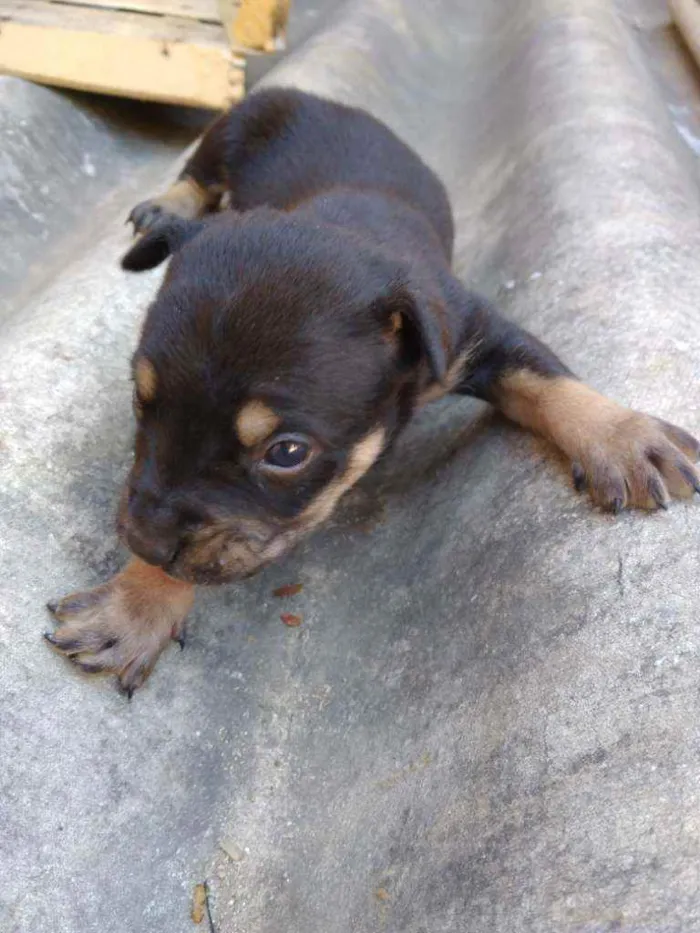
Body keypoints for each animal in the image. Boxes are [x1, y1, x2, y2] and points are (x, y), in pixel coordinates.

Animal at [45, 89, 700, 700]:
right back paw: (165, 207)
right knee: (198, 174)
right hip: (234, 125)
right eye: (141, 400)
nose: (140, 541)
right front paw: (136, 602)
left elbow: (551, 382)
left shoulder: (476, 329)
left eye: (287, 453)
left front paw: (623, 437)